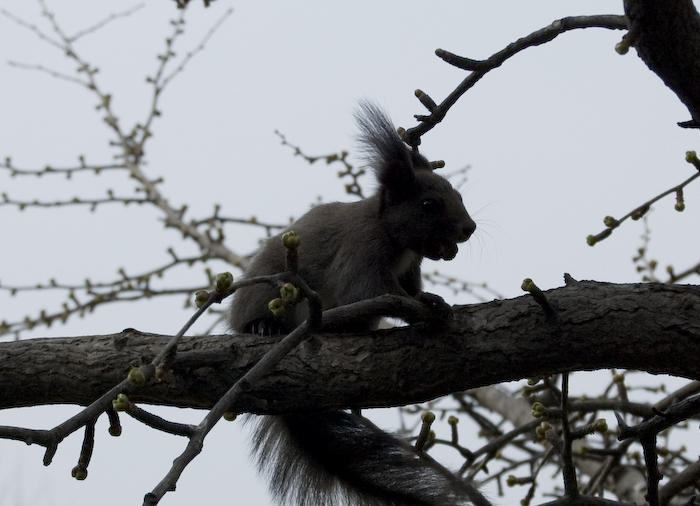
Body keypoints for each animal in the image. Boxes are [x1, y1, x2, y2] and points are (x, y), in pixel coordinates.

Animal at [232, 101, 484, 504]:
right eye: (429, 204)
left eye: (459, 196)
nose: (469, 228)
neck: (395, 236)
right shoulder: (361, 250)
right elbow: (371, 292)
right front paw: (426, 310)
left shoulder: (410, 268)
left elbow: (410, 291)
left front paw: (435, 301)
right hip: (266, 289)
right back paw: (262, 326)